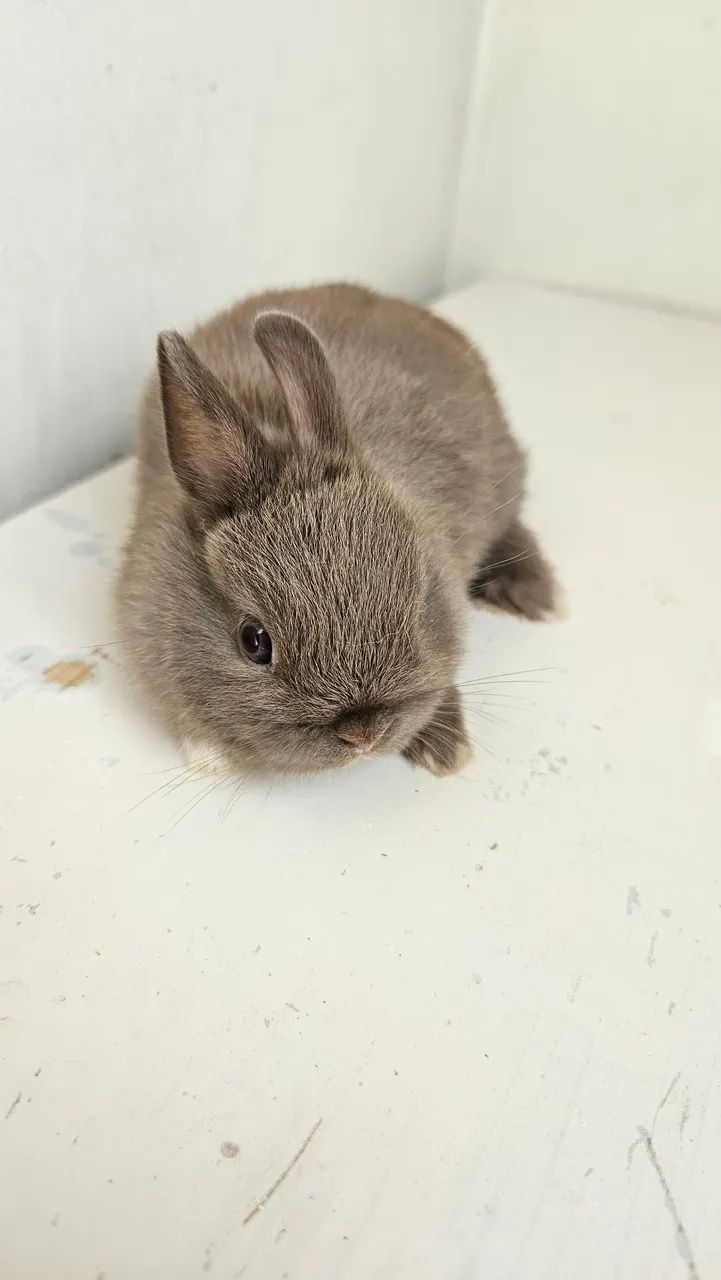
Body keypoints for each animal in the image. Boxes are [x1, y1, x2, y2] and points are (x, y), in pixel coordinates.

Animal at [117, 283, 556, 778]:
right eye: (254, 641)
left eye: (419, 603)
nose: (363, 734)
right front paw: (211, 757)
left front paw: (445, 748)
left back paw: (536, 595)